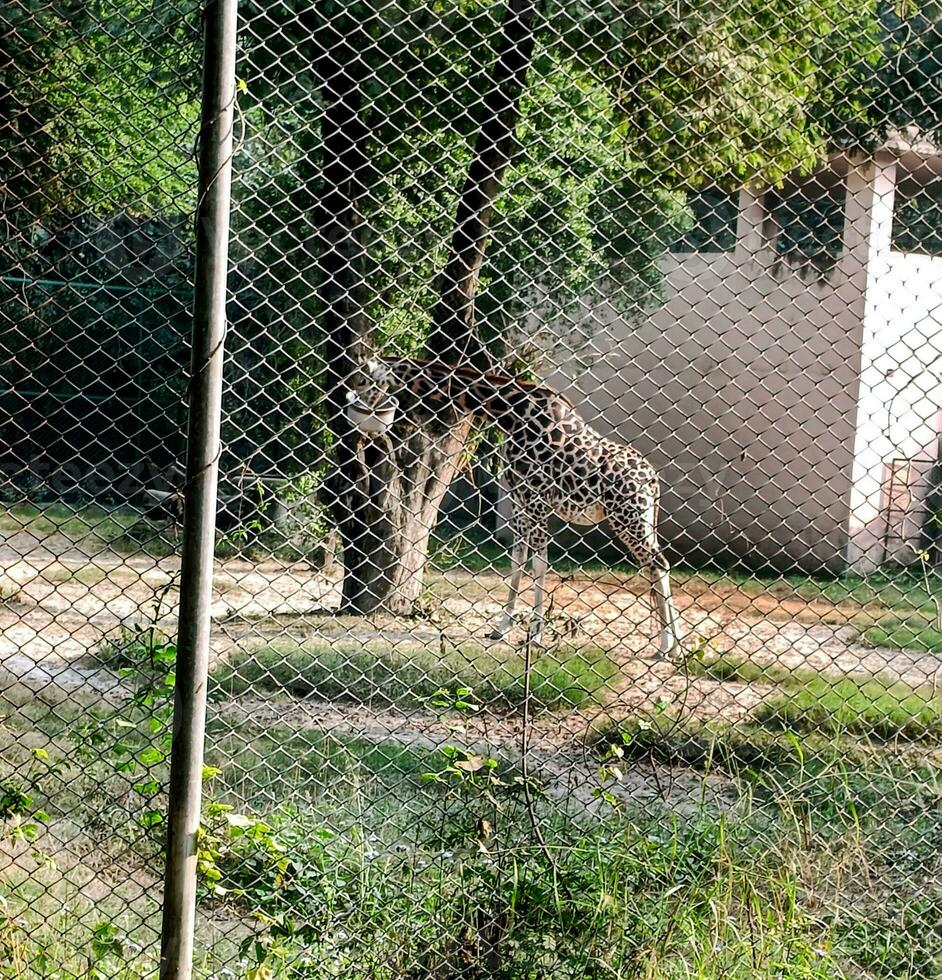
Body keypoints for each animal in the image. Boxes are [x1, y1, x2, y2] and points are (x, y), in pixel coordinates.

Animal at [342, 356, 684, 656]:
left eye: (362, 380)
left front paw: (536, 634)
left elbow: (540, 563)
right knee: (655, 566)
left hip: (627, 516)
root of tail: (652, 479)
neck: (510, 412)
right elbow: (518, 560)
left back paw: (668, 646)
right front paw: (501, 627)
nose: (354, 408)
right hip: (641, 518)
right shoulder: (519, 497)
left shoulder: (536, 497)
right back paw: (673, 643)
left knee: (659, 563)